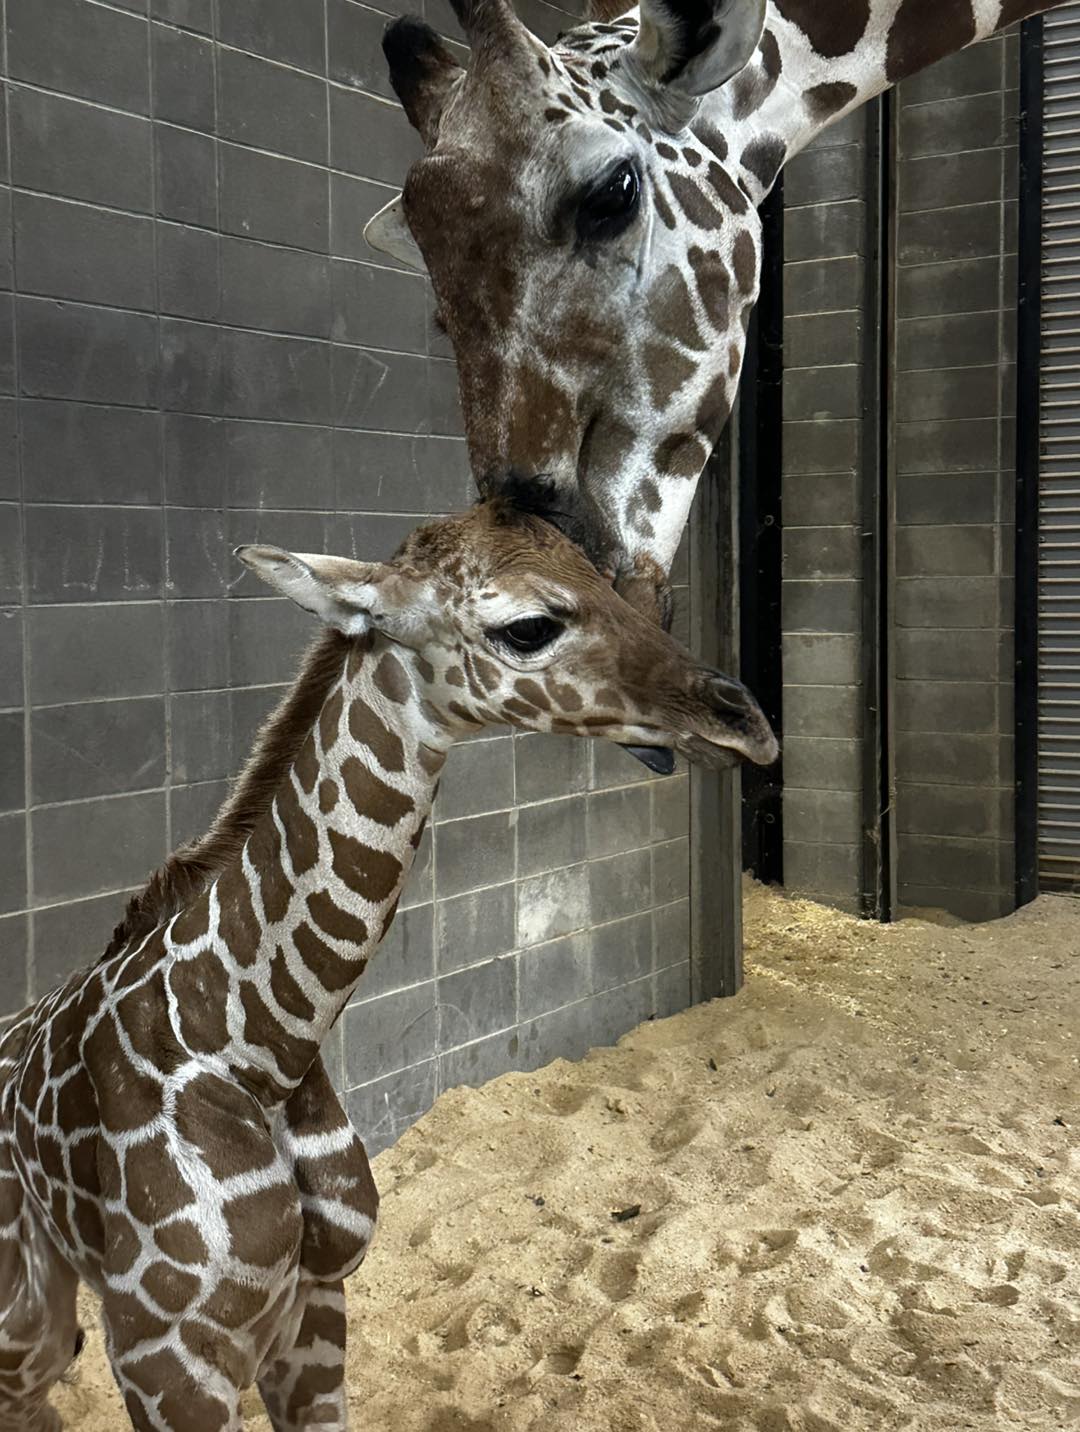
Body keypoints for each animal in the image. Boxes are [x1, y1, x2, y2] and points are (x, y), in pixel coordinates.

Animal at [0, 498, 776, 1432]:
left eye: (617, 586)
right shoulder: (168, 1359)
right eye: (529, 626)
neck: (259, 1046)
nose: (745, 723)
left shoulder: (318, 1304)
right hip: (22, 1312)